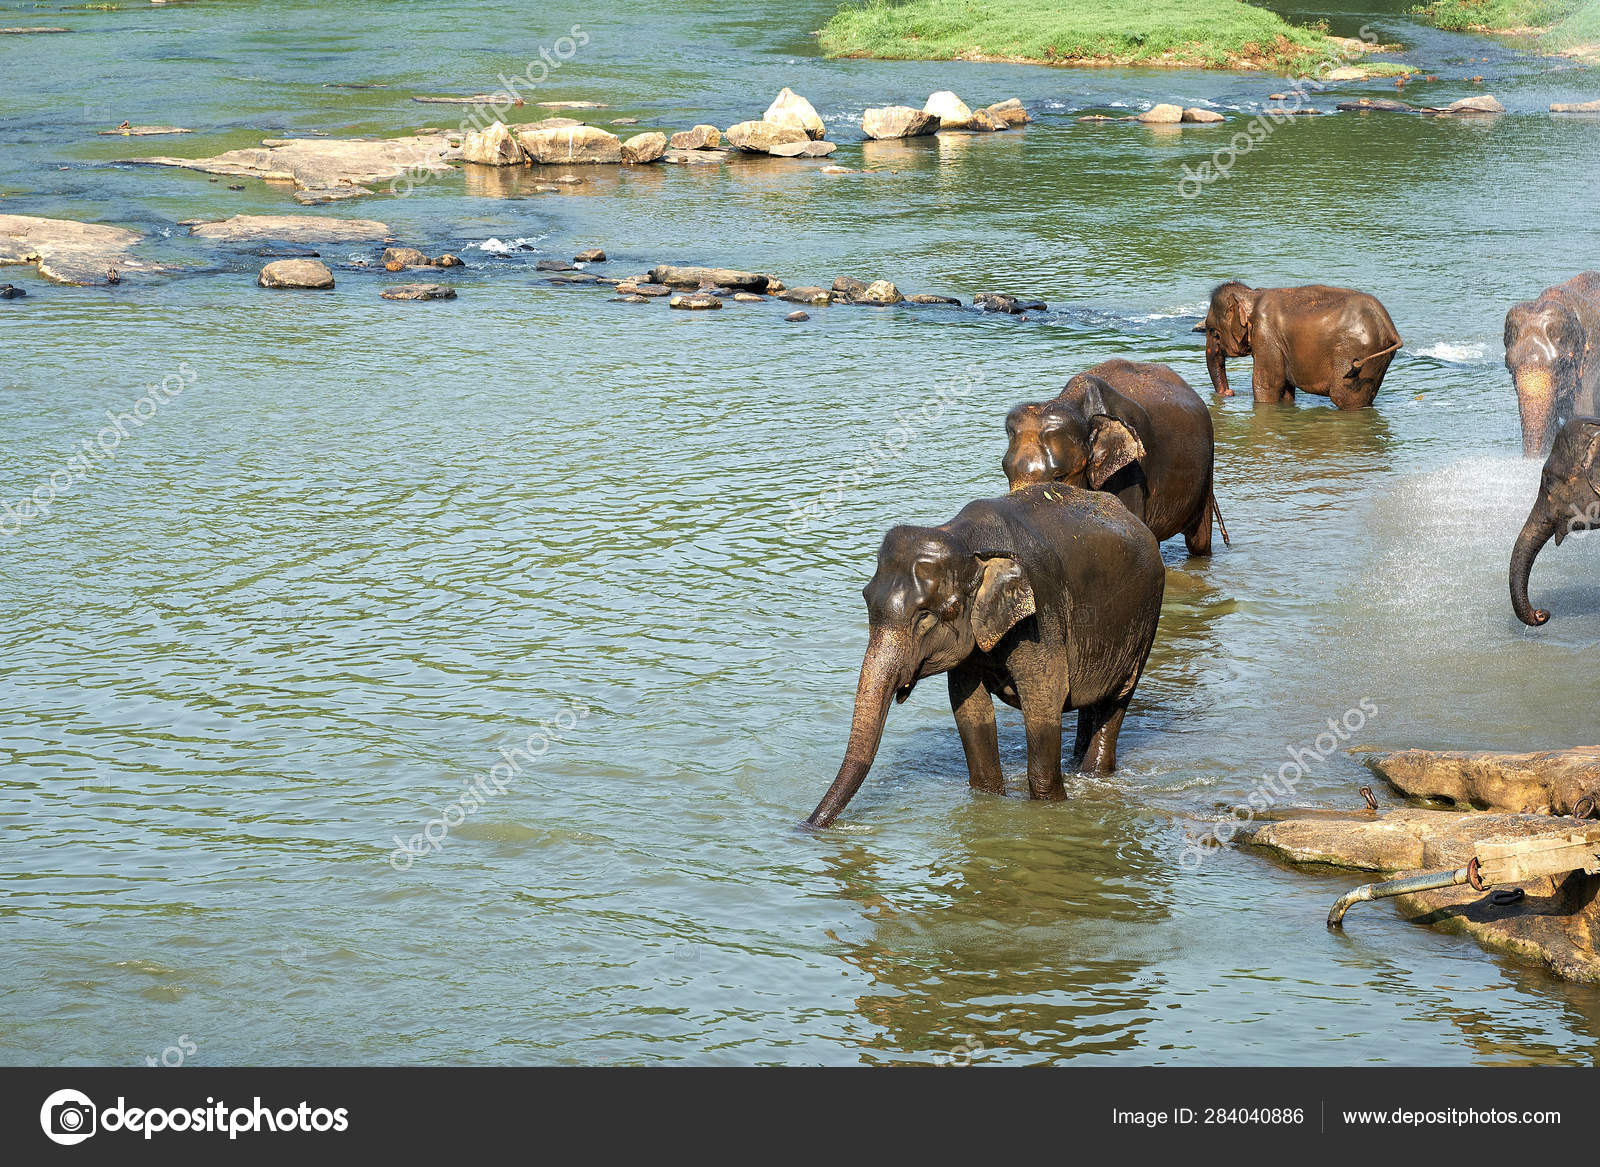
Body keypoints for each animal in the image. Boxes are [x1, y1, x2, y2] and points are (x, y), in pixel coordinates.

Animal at [806, 484, 1165, 828]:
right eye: (866, 599)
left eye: (925, 616)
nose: (806, 826)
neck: (964, 540)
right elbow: (969, 708)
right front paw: (989, 799)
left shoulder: (1042, 617)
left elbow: (1045, 698)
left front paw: (1049, 809)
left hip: (1144, 622)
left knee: (1116, 699)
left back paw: (1094, 773)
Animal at [1002, 358, 1226, 556]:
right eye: (1006, 472)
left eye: (1060, 477)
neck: (1075, 406)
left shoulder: (1131, 472)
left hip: (1207, 469)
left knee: (1199, 543)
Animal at [1193, 282, 1402, 409]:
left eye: (1212, 330)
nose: (1229, 393)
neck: (1252, 295)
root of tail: (1389, 326)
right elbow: (1286, 387)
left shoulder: (1266, 336)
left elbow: (1267, 385)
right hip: (1377, 359)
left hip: (1354, 353)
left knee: (1344, 397)